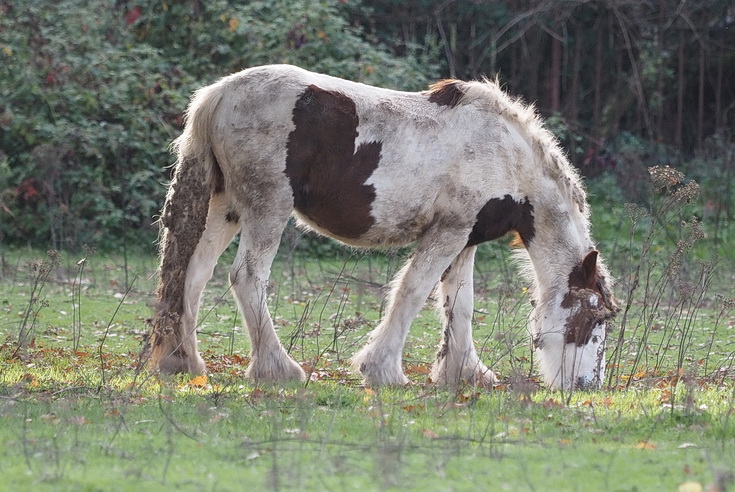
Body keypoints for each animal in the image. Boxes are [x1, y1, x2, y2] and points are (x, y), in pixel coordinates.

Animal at [147, 63, 620, 390]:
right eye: (593, 319)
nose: (587, 386)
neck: (506, 155)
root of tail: (219, 94)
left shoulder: (465, 239)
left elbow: (460, 305)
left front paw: (465, 373)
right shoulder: (448, 232)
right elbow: (413, 292)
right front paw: (382, 370)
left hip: (224, 207)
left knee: (192, 275)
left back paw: (184, 362)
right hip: (268, 209)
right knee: (246, 277)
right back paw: (279, 368)